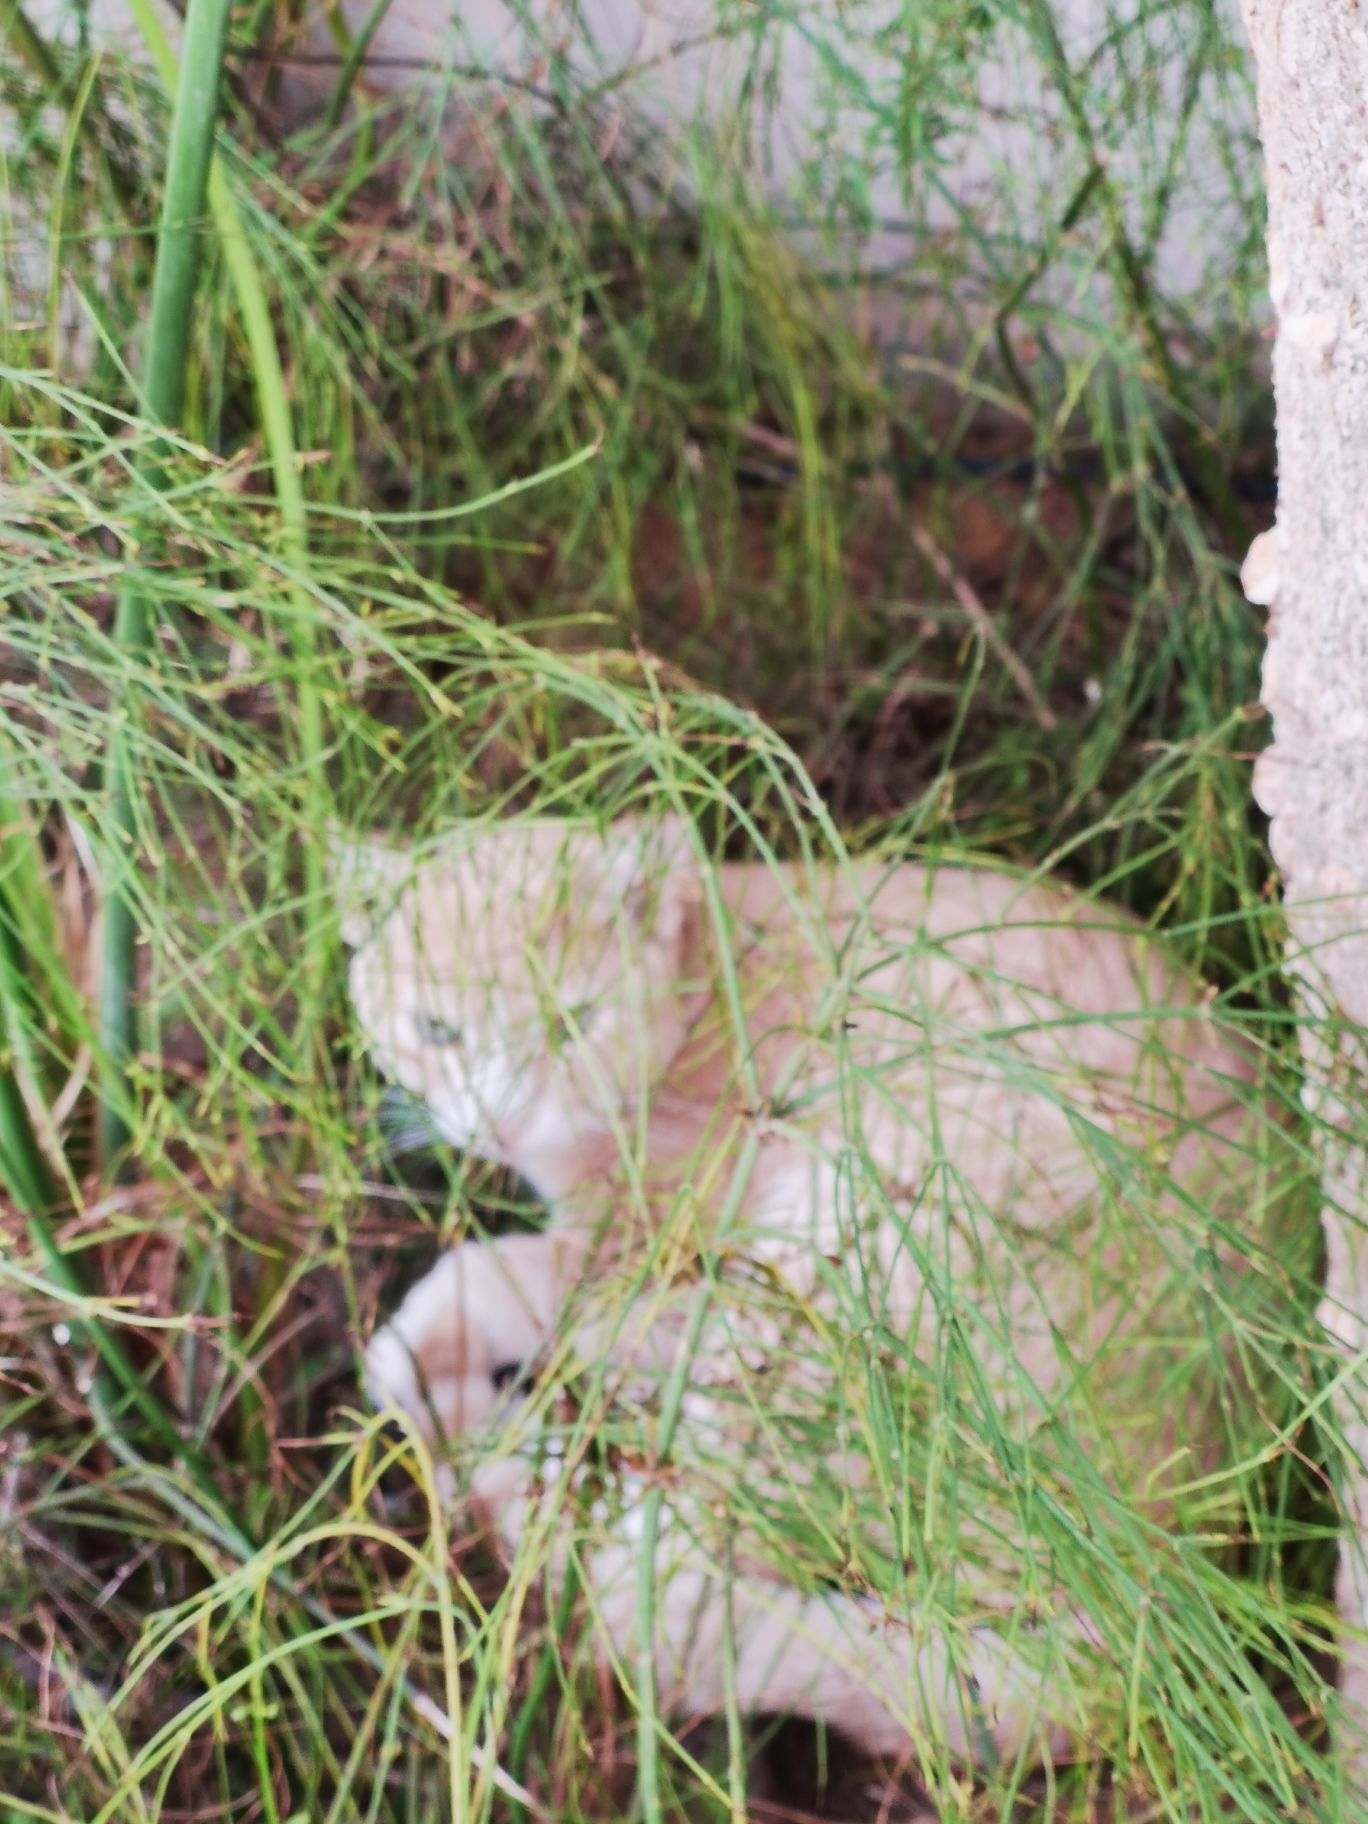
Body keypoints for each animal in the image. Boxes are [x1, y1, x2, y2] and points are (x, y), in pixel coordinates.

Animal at [337, 820, 1313, 1772]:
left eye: (572, 1023)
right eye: (438, 1029)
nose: (497, 1119)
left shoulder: (644, 1253)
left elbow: (503, 1282)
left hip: (842, 1285)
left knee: (660, 1573)